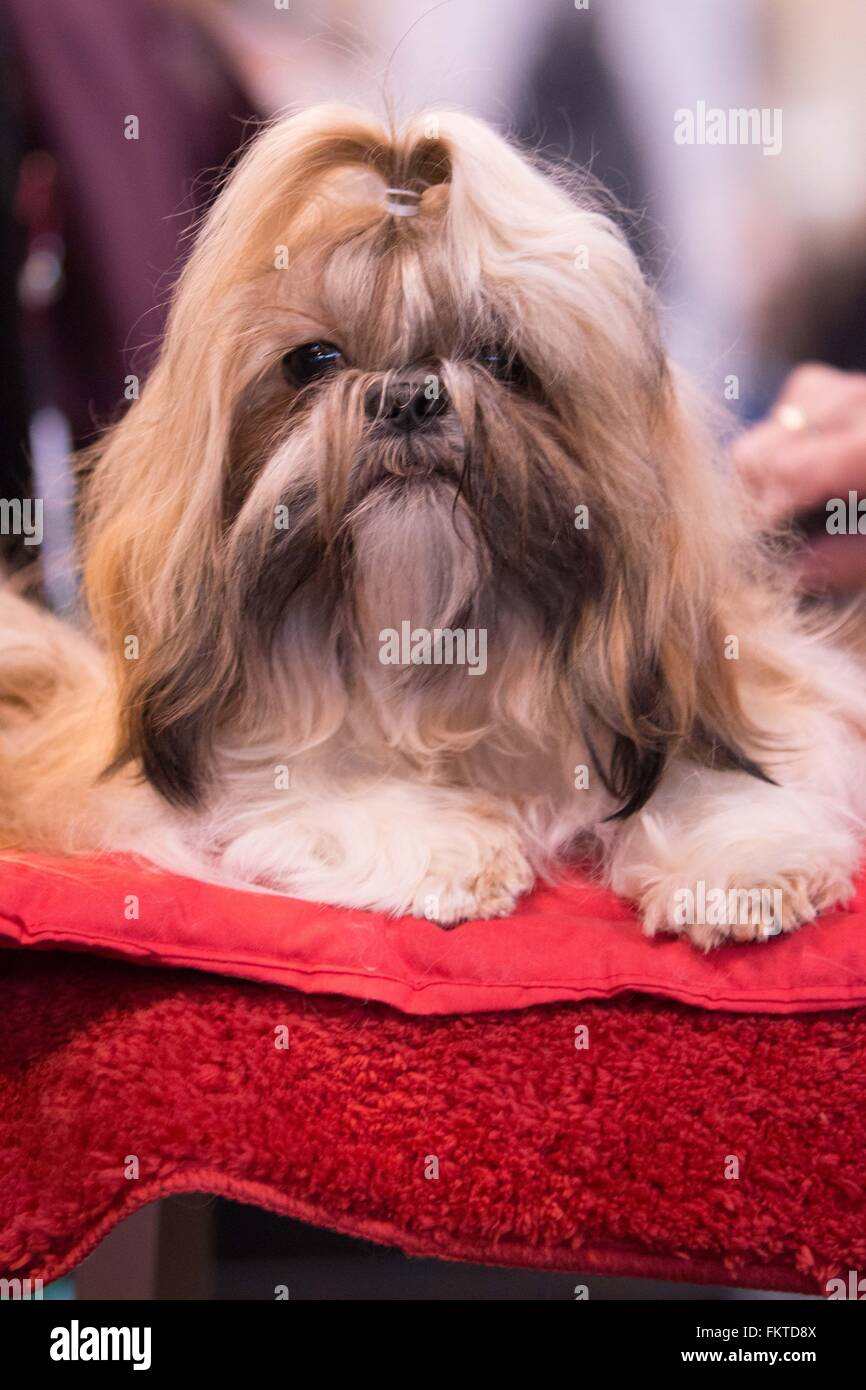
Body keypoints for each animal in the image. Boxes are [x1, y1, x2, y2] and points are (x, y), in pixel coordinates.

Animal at [1, 108, 866, 945]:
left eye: (500, 357)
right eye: (312, 360)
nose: (408, 395)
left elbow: (719, 771)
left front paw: (743, 867)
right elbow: (302, 783)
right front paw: (446, 847)